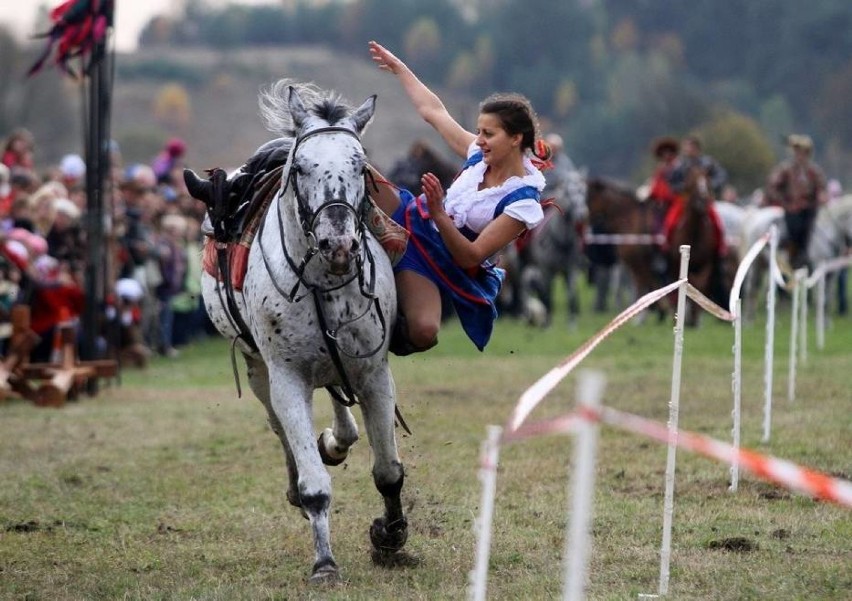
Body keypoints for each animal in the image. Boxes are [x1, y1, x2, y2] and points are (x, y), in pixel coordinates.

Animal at [186, 79, 410, 580]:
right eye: (302, 167)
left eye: (359, 165)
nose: (338, 243)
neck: (325, 281)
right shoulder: (286, 375)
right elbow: (314, 484)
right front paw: (324, 562)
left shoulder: (374, 372)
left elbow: (388, 470)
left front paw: (390, 536)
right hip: (258, 369)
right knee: (281, 427)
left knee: (337, 406)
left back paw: (337, 440)